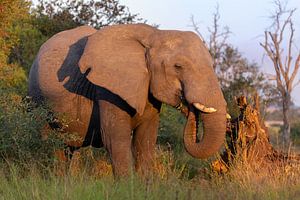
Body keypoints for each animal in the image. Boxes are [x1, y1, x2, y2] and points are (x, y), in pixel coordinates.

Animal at [28, 23, 226, 177]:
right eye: (178, 66)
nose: (187, 104)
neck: (156, 34)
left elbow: (145, 140)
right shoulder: (107, 89)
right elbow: (115, 138)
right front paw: (125, 186)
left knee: (69, 149)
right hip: (36, 97)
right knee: (47, 140)